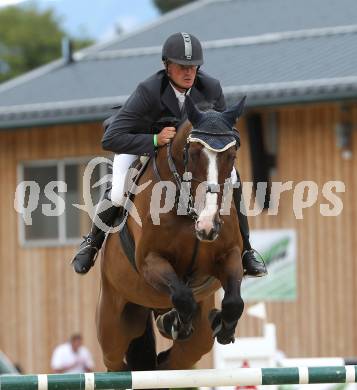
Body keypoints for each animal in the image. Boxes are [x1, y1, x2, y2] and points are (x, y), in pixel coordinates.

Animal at [96, 95, 248, 372]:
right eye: (194, 153)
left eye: (231, 156)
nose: (208, 226)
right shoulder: (150, 261)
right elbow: (182, 295)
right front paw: (175, 323)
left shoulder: (229, 254)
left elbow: (234, 302)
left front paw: (223, 327)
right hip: (113, 322)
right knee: (115, 360)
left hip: (196, 342)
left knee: (175, 360)